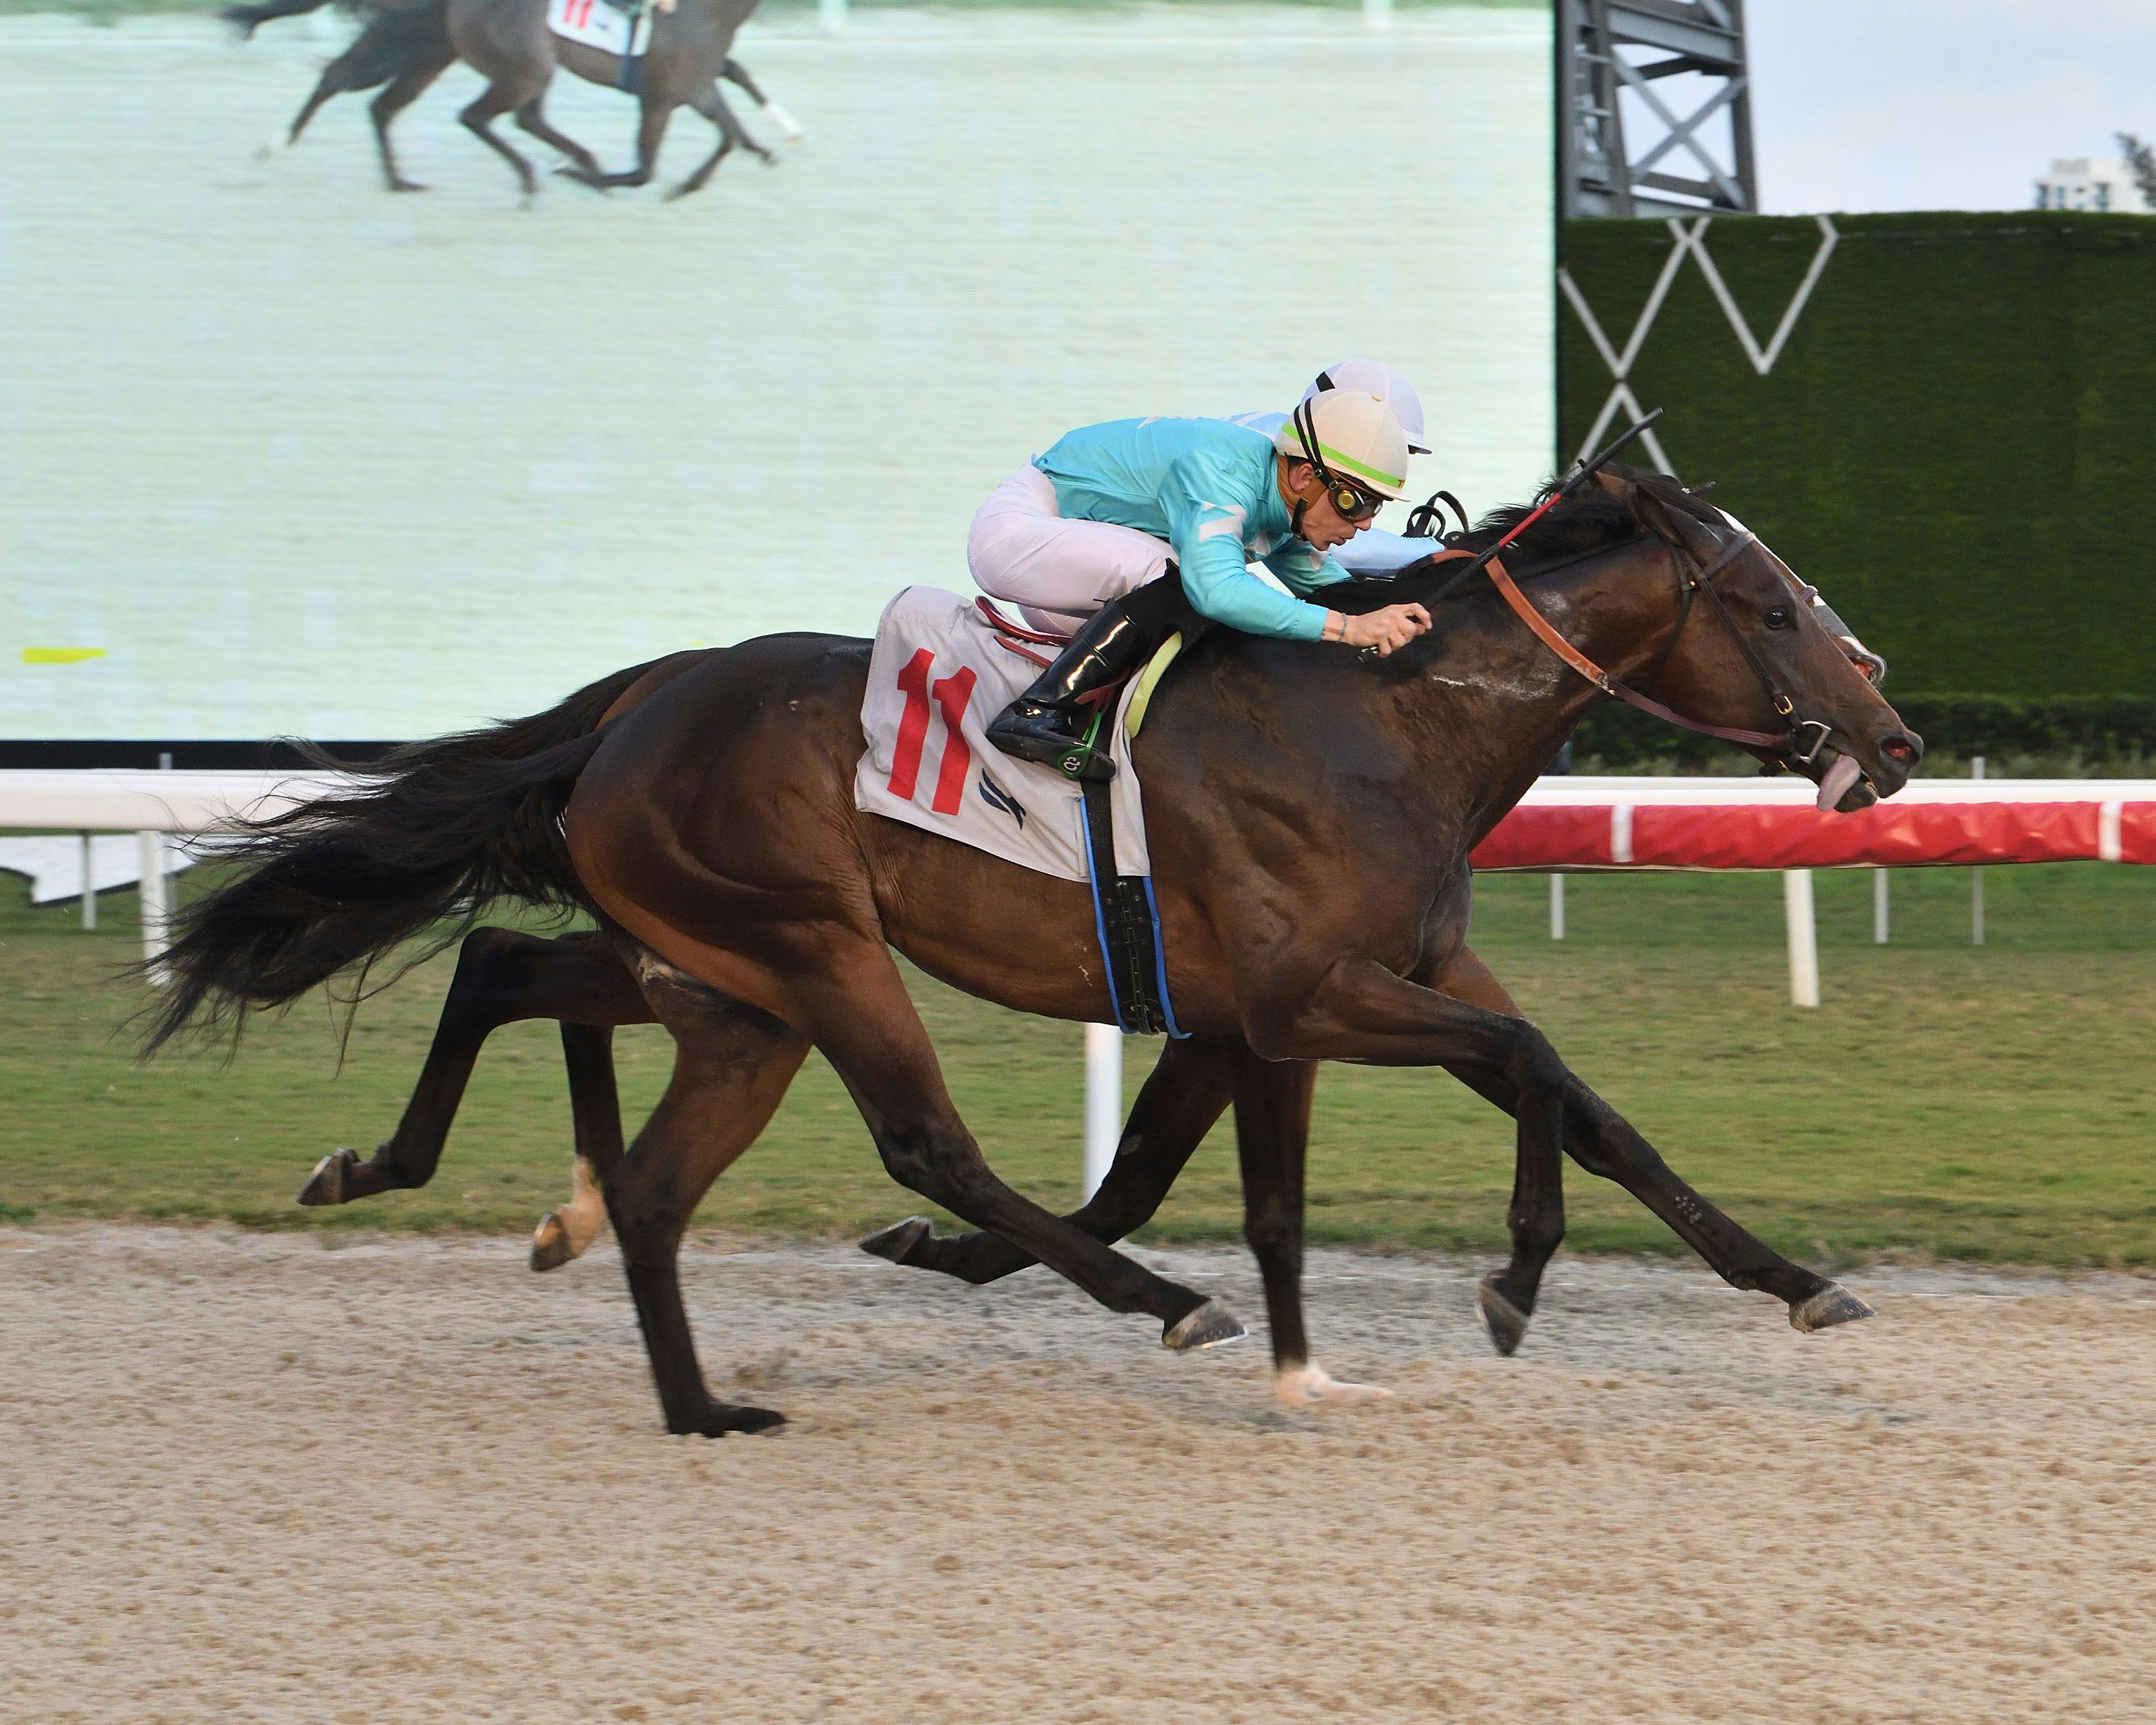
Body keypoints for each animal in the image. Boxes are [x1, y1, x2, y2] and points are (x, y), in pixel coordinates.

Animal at [147, 455, 1923, 1432]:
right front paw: (1512, 1275)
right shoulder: (1308, 996)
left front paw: (1794, 1283)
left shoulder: (1333, 993)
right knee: (925, 1138)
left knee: (509, 976)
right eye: (1772, 608)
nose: (1895, 740)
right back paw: (1151, 1301)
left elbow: (1574, 1107)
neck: (1384, 716)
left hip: (708, 970)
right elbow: (1519, 1067)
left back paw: (447, 1193)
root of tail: (641, 698)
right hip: (811, 951)